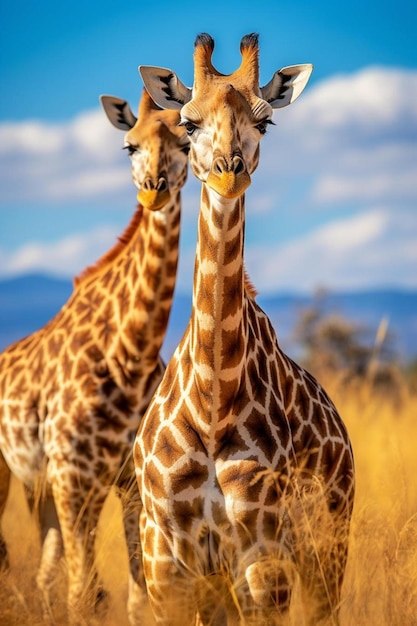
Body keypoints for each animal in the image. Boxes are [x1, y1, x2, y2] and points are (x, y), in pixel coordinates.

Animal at [0, 85, 188, 620]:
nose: (154, 188)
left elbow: (137, 597)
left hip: (38, 484)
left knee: (44, 571)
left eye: (187, 141)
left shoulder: (128, 482)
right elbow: (83, 595)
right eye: (129, 145)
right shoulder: (72, 474)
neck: (130, 354)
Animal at [134, 35, 354, 624]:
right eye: (188, 123)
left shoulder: (262, 553)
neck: (213, 404)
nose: (228, 171)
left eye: (266, 121)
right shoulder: (167, 560)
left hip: (328, 545)